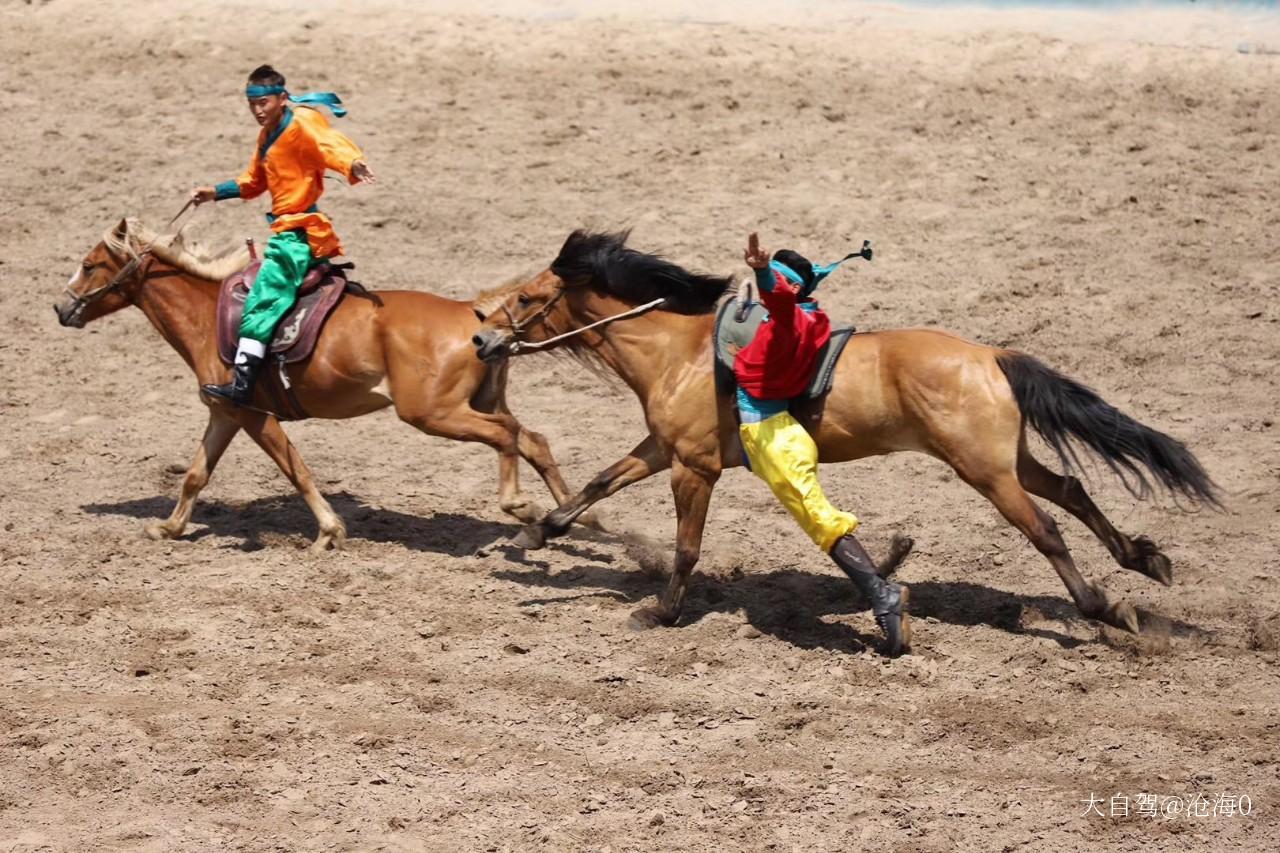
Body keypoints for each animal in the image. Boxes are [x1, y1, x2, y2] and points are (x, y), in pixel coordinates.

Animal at [56, 217, 581, 550]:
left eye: (89, 265)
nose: (61, 308)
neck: (209, 313)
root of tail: (472, 312)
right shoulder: (225, 412)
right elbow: (195, 474)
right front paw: (168, 528)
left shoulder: (252, 413)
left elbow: (296, 470)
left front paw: (329, 531)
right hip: (482, 402)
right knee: (532, 439)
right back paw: (575, 517)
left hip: (435, 414)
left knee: (506, 436)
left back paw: (520, 505)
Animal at [473, 229, 1218, 640]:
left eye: (527, 297)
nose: (481, 338)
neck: (677, 352)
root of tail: (991, 355)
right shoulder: (664, 448)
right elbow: (599, 483)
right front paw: (534, 533)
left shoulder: (694, 467)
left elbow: (685, 548)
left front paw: (659, 613)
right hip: (1009, 459)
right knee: (1070, 490)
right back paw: (1144, 559)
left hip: (986, 471)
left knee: (1046, 529)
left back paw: (1102, 607)